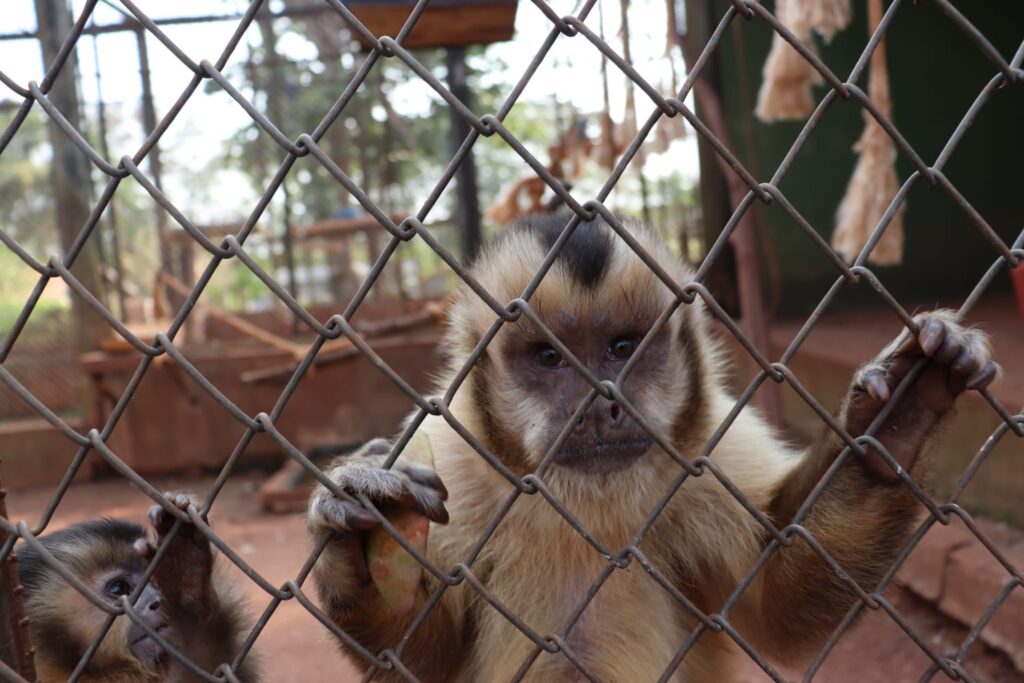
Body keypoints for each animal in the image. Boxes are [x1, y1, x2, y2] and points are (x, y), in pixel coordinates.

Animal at [305, 215, 999, 683]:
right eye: (549, 358)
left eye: (622, 348)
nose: (600, 404)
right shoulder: (448, 452)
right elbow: (423, 661)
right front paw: (369, 555)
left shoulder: (709, 450)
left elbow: (778, 605)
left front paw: (897, 420)